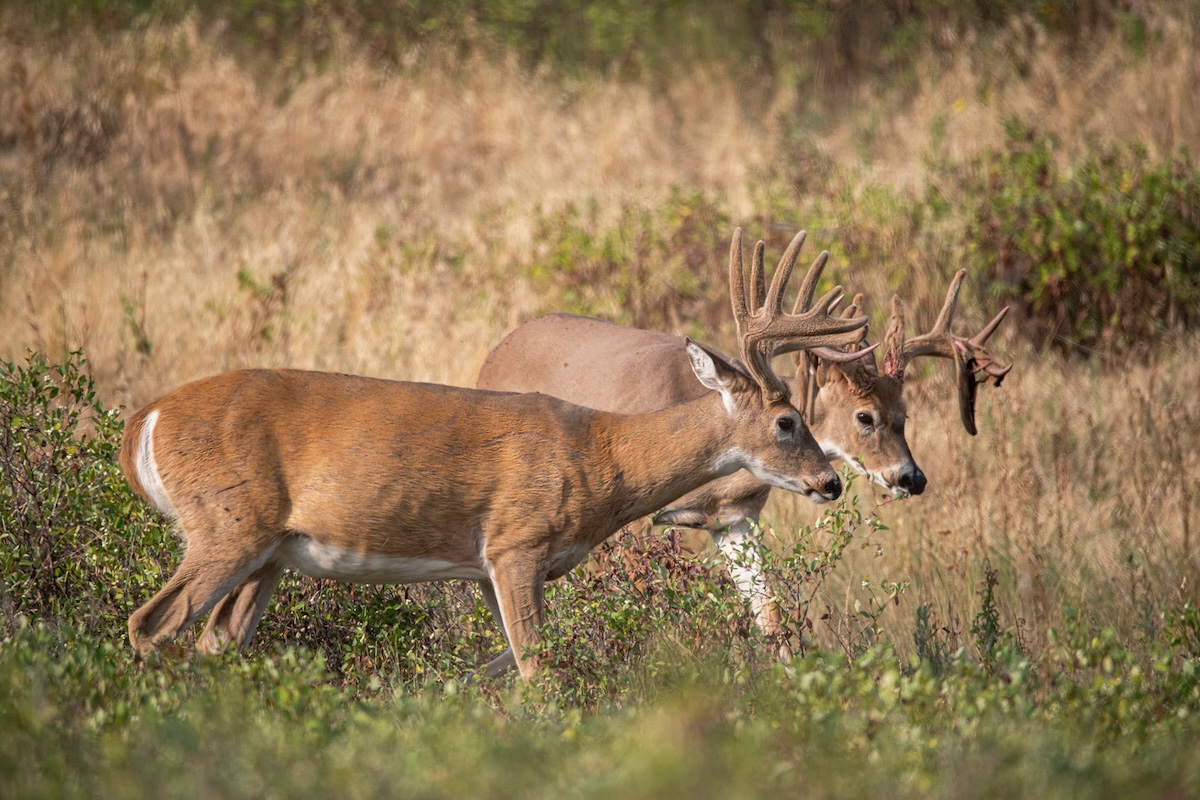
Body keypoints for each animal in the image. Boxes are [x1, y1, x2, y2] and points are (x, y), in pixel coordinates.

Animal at [118, 227, 869, 682]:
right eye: (787, 422)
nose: (831, 483)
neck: (603, 457)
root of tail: (144, 422)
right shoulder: (516, 543)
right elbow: (539, 671)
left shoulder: (486, 567)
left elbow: (510, 662)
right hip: (226, 523)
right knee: (150, 623)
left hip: (270, 552)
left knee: (216, 641)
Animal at [477, 233, 1011, 662]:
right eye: (866, 417)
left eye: (905, 416)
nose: (911, 477)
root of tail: (496, 348)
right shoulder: (634, 519)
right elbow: (640, 606)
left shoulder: (735, 520)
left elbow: (770, 612)